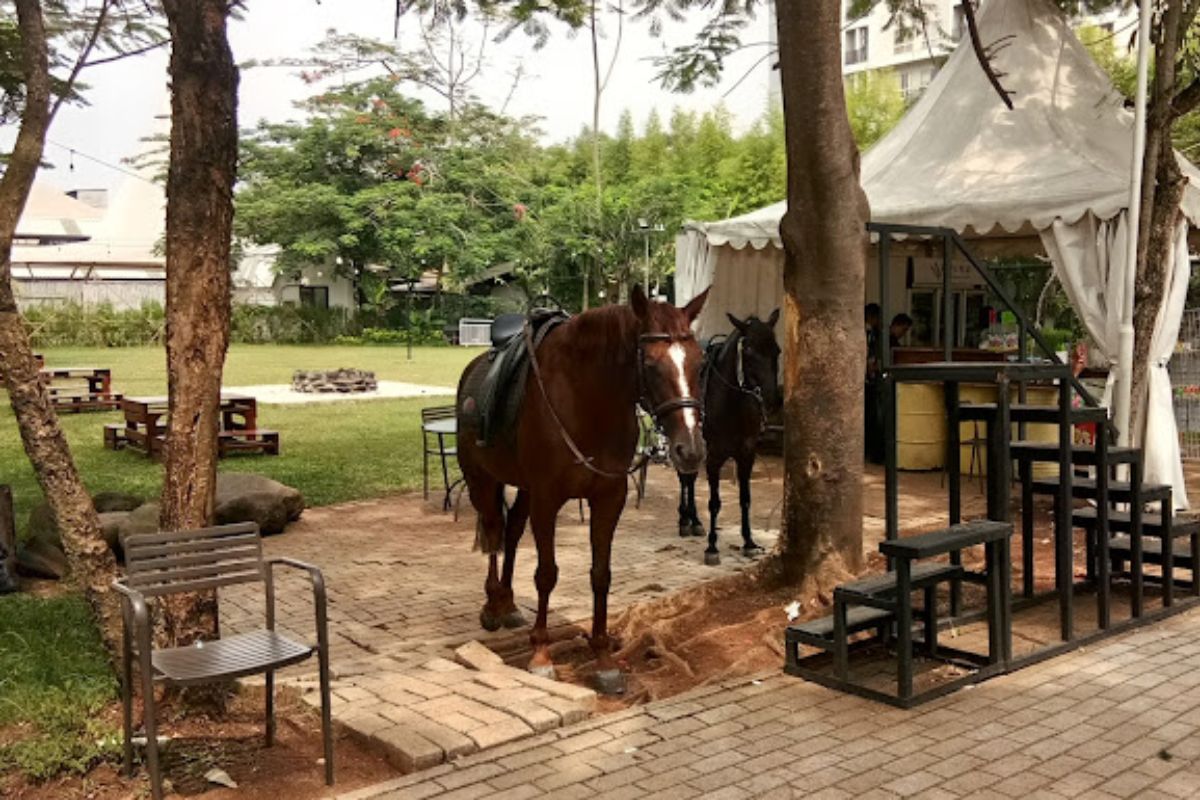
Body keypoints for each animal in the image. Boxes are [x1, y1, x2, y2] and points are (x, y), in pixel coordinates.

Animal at [456, 285, 709, 694]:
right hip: (482, 478)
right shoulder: (547, 499)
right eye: (651, 365)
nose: (690, 449)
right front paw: (541, 654)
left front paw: (603, 658)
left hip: (524, 489)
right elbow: (546, 573)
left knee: (511, 533)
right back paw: (493, 605)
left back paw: (508, 604)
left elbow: (601, 574)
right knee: (493, 530)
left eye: (700, 364)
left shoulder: (609, 499)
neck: (588, 401)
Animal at [677, 310, 781, 565]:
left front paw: (749, 542)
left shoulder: (747, 455)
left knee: (690, 479)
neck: (731, 404)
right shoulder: (713, 457)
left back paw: (694, 521)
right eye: (749, 351)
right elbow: (714, 502)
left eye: (777, 350)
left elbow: (745, 498)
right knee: (684, 478)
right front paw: (712, 547)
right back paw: (684, 520)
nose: (773, 399)